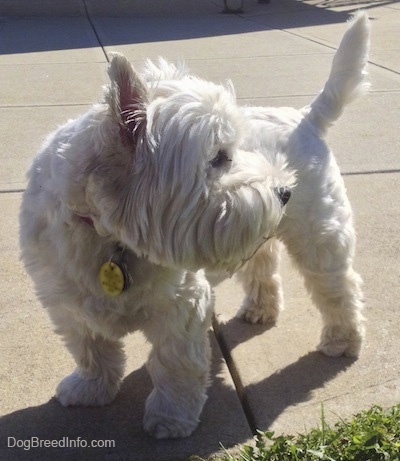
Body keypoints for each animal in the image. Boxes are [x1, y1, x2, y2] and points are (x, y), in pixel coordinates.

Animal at [18, 12, 368, 438]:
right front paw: (90, 388)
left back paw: (342, 339)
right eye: (218, 156)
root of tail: (304, 118)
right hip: (255, 232)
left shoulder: (182, 304)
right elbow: (90, 349)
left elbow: (174, 364)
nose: (284, 191)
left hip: (319, 234)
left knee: (338, 287)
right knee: (262, 263)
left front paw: (171, 417)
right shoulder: (66, 303)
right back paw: (260, 308)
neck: (107, 236)